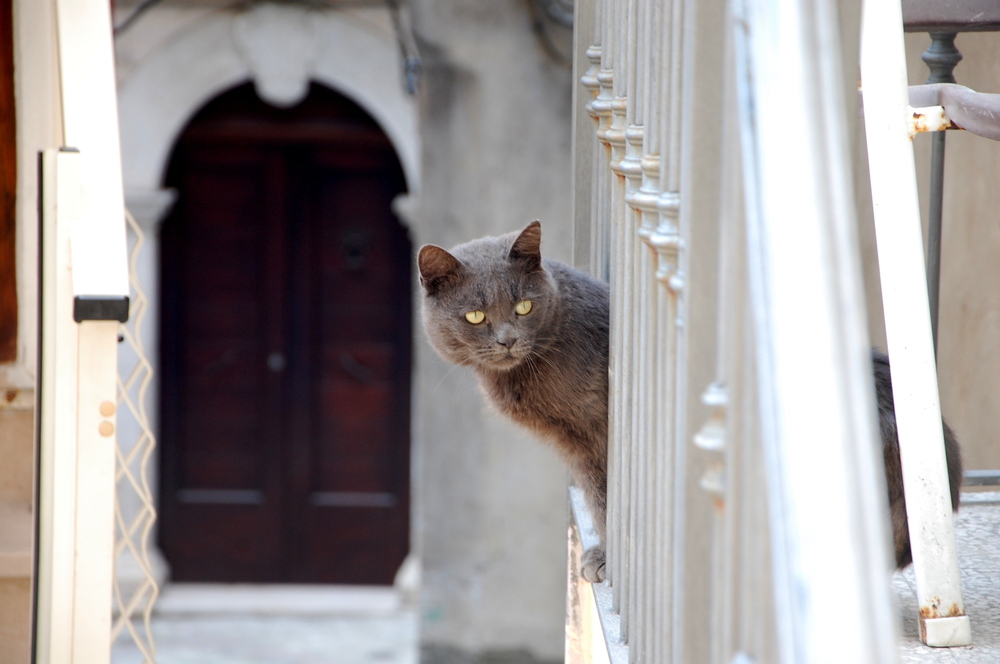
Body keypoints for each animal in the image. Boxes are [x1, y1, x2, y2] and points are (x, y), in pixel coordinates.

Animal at [416, 223, 960, 580]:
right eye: (475, 316)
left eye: (524, 306)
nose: (507, 340)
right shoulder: (582, 450)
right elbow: (600, 495)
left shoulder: (604, 432)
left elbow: (610, 498)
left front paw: (609, 559)